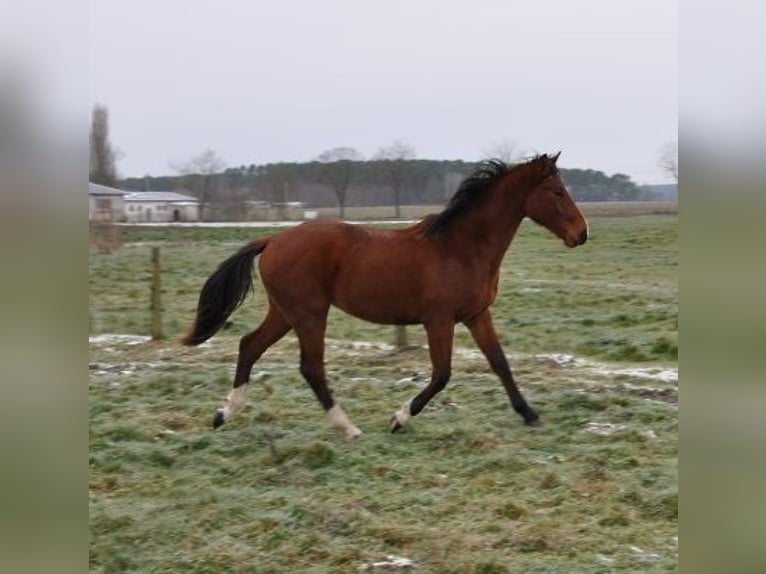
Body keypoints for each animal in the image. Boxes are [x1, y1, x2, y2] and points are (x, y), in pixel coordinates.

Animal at [183, 153, 592, 440]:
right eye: (557, 191)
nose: (582, 233)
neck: (461, 247)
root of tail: (272, 239)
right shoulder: (438, 320)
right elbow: (442, 374)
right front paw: (398, 419)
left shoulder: (477, 315)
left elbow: (500, 363)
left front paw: (531, 415)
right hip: (310, 314)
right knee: (311, 368)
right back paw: (348, 428)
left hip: (285, 313)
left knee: (249, 346)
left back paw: (223, 414)